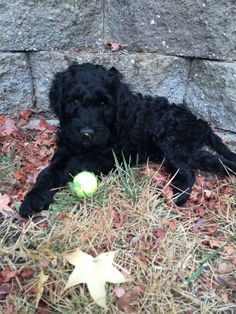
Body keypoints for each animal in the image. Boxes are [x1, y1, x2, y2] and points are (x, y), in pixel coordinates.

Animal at [18, 62, 236, 217]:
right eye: (74, 101)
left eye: (103, 103)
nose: (87, 133)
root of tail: (199, 121)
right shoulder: (66, 147)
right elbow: (48, 171)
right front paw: (34, 197)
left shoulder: (114, 154)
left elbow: (75, 163)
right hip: (182, 147)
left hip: (170, 141)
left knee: (191, 170)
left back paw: (178, 196)